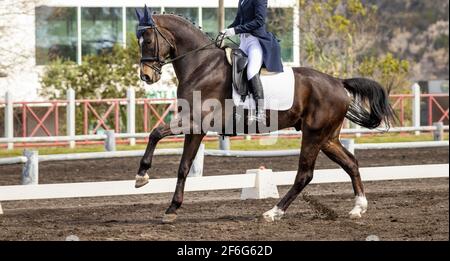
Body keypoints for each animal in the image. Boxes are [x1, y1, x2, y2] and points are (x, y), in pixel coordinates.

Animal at [134, 13, 394, 222]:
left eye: (148, 41)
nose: (146, 76)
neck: (201, 66)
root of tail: (338, 83)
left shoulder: (196, 121)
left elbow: (156, 134)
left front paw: (142, 176)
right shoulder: (194, 127)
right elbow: (183, 166)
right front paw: (171, 208)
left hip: (314, 134)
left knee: (305, 174)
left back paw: (274, 212)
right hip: (327, 138)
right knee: (351, 163)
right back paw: (358, 208)